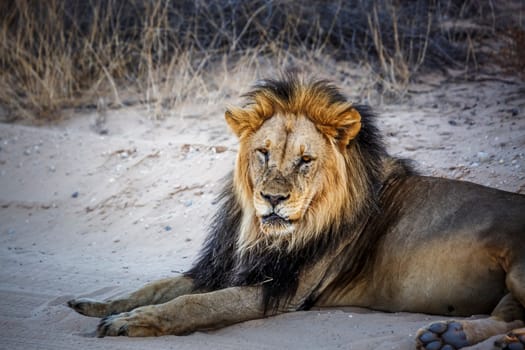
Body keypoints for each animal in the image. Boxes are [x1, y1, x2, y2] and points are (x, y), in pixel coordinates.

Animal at [68, 76, 524, 350]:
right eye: (263, 153)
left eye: (305, 161)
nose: (272, 198)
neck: (258, 232)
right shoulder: (223, 267)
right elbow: (157, 287)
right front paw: (97, 304)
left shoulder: (281, 291)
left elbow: (194, 305)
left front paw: (130, 322)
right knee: (506, 313)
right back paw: (448, 335)